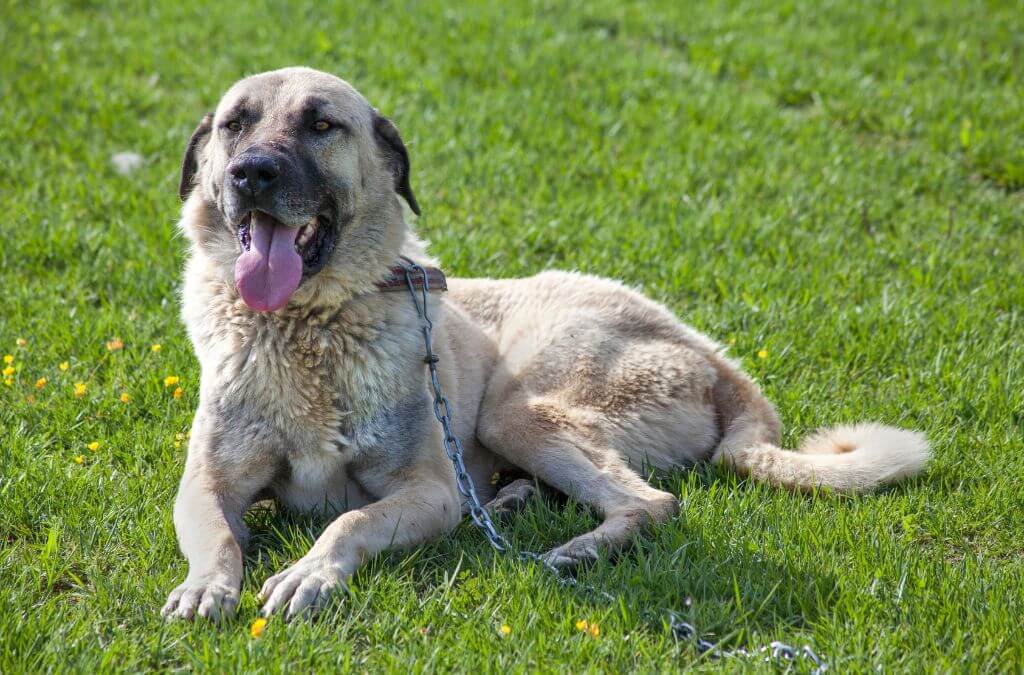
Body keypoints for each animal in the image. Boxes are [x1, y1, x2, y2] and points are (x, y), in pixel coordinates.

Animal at [157, 67, 929, 622]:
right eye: (234, 124)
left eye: (321, 124)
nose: (251, 172)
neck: (308, 327)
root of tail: (712, 355)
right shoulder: (207, 484)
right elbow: (220, 535)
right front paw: (206, 587)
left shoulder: (429, 490)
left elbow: (350, 519)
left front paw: (309, 573)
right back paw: (510, 505)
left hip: (518, 408)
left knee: (653, 503)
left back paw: (575, 550)